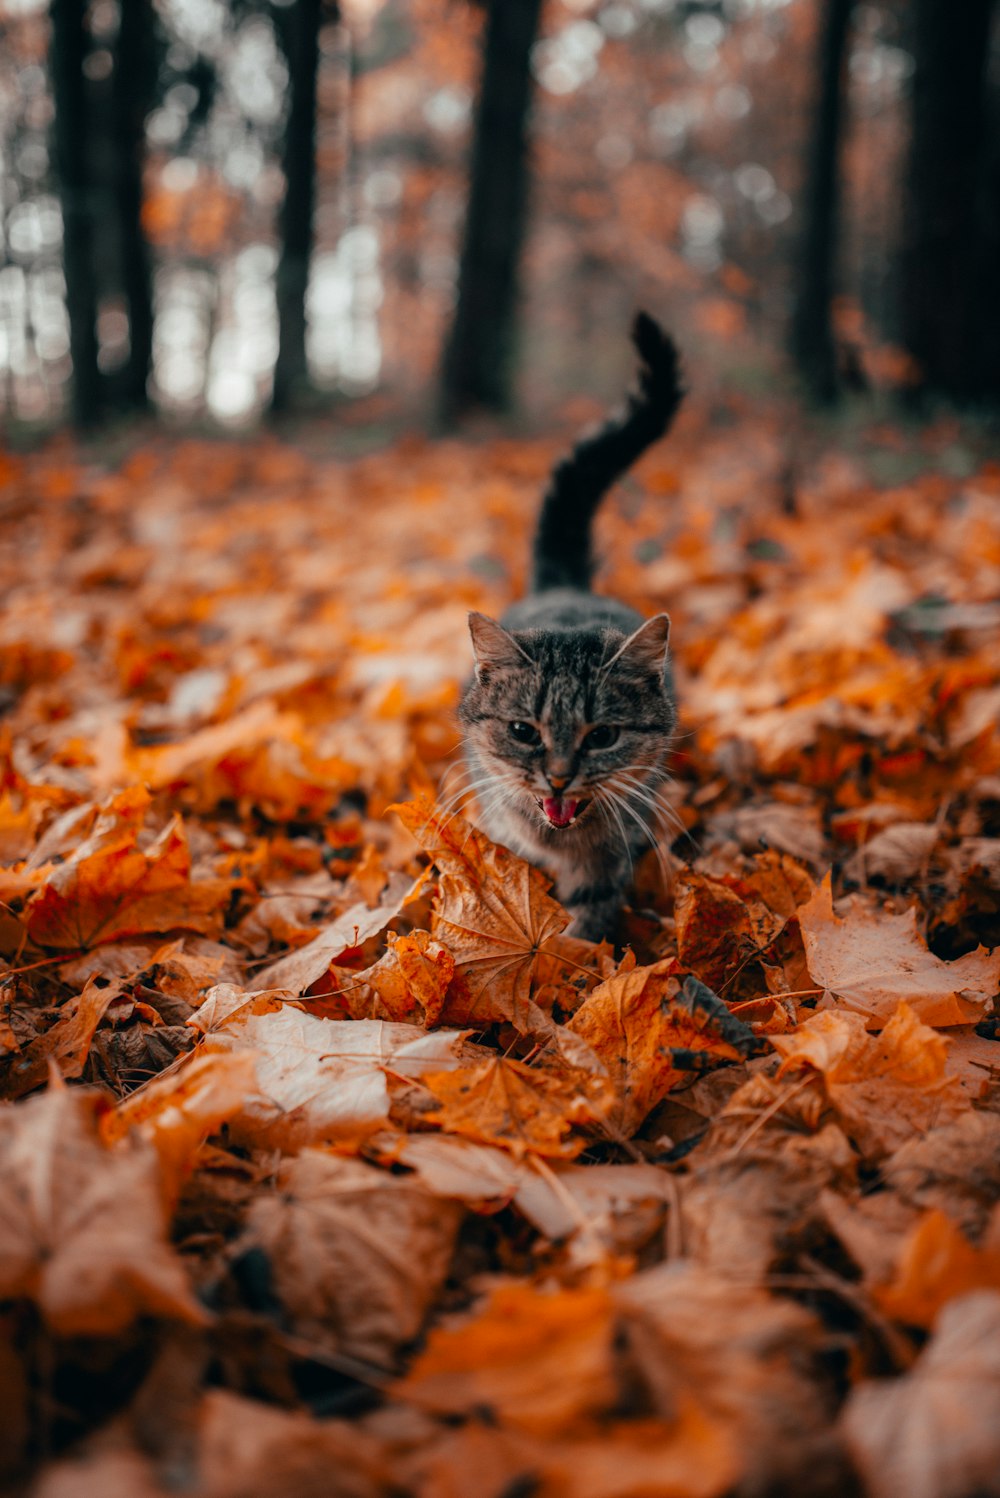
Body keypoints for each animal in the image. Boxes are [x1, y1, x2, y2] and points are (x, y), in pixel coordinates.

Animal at [458, 311, 682, 934]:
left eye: (602, 736)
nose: (558, 775)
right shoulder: (503, 843)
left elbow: (587, 924)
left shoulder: (610, 854)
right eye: (522, 731)